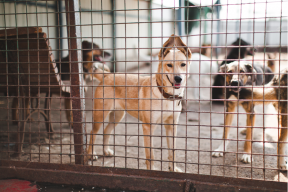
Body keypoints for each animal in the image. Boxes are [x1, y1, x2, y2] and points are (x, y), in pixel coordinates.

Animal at [85, 35, 191, 172]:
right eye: (169, 65)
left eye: (183, 64)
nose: (178, 79)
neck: (166, 96)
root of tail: (107, 76)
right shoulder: (148, 127)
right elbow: (150, 155)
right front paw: (152, 171)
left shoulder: (172, 126)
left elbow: (172, 151)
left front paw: (173, 169)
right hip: (100, 116)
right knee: (93, 133)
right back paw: (91, 154)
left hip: (117, 116)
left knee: (106, 131)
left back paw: (106, 151)